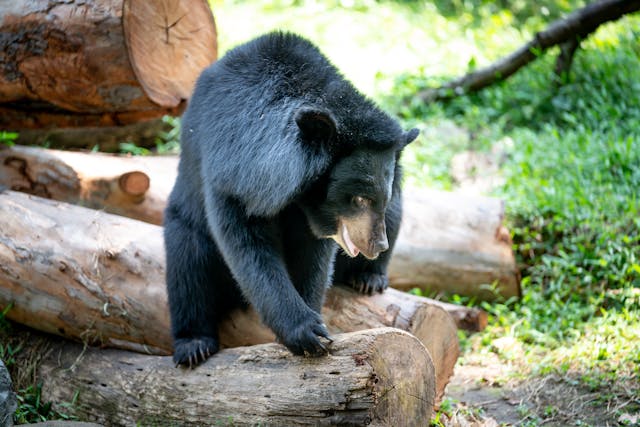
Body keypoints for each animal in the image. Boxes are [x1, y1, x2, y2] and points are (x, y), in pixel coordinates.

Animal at [164, 31, 419, 367]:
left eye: (380, 197)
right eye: (359, 199)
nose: (377, 246)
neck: (296, 194)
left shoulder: (320, 216)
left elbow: (313, 257)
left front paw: (313, 322)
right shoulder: (230, 175)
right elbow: (247, 248)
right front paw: (306, 332)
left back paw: (369, 277)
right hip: (186, 221)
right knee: (187, 264)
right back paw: (193, 345)